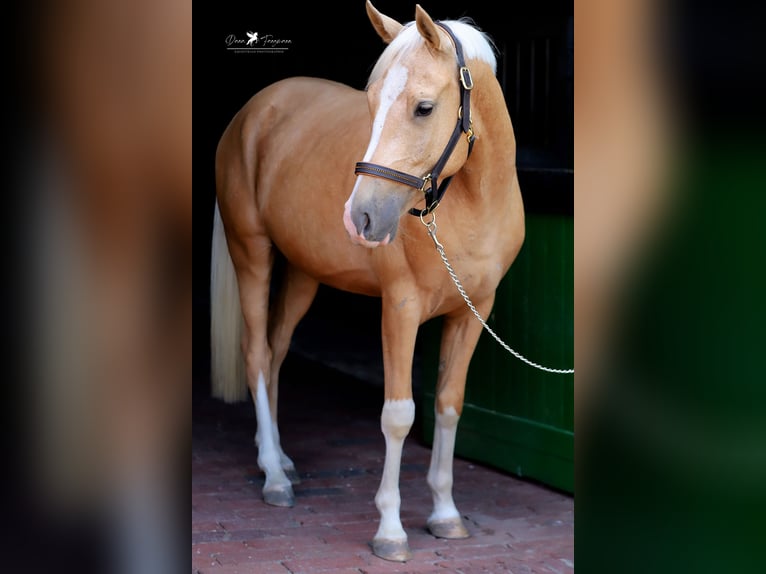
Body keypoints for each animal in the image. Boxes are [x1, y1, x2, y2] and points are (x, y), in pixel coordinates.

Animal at [212, 2, 528, 564]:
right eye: (371, 102)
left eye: (424, 108)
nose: (359, 217)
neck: (472, 204)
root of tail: (253, 111)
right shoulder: (400, 309)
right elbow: (399, 415)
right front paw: (391, 530)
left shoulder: (473, 312)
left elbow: (448, 406)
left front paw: (445, 515)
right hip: (252, 254)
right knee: (254, 353)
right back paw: (274, 477)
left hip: (304, 275)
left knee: (274, 351)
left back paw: (280, 459)